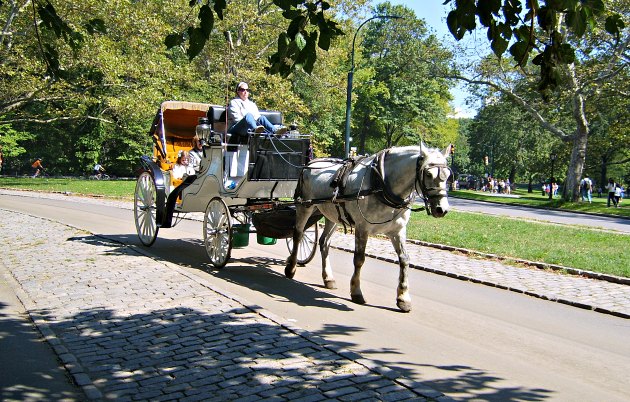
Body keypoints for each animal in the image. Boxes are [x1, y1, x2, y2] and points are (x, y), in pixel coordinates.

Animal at [286, 143, 454, 312]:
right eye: (428, 174)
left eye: (447, 175)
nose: (442, 209)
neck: (381, 183)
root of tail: (310, 163)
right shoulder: (362, 228)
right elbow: (359, 259)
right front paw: (356, 291)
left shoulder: (397, 231)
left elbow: (405, 260)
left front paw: (403, 298)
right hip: (305, 207)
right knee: (298, 235)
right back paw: (291, 267)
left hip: (332, 215)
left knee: (324, 242)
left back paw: (328, 278)